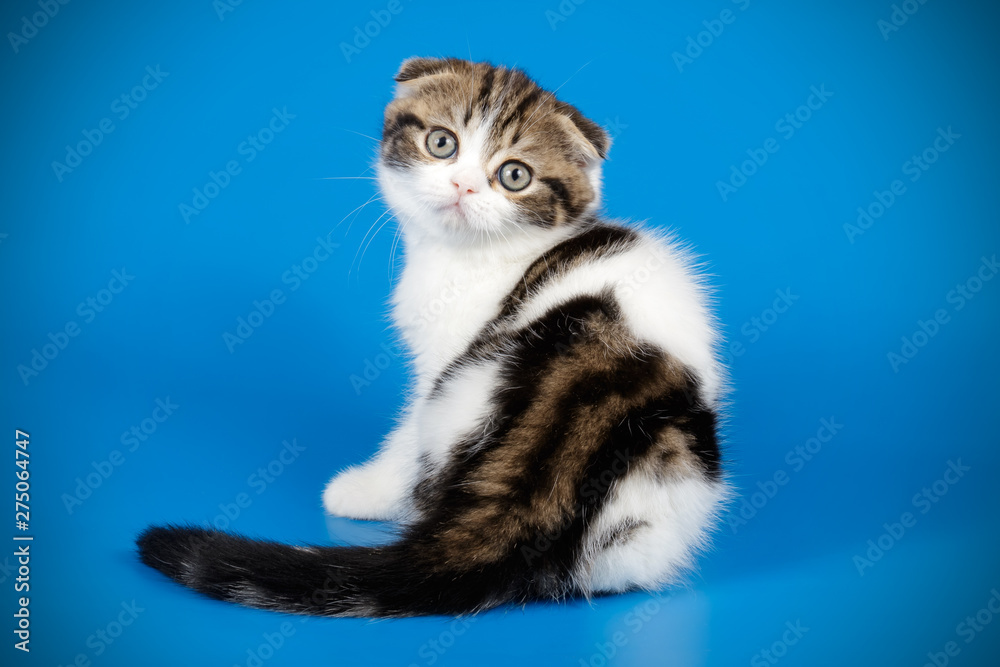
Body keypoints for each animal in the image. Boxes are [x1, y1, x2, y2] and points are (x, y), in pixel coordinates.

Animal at [137, 58, 732, 620]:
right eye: (442, 143)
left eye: (514, 175)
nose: (462, 186)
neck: (466, 258)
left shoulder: (443, 360)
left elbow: (406, 433)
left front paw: (363, 489)